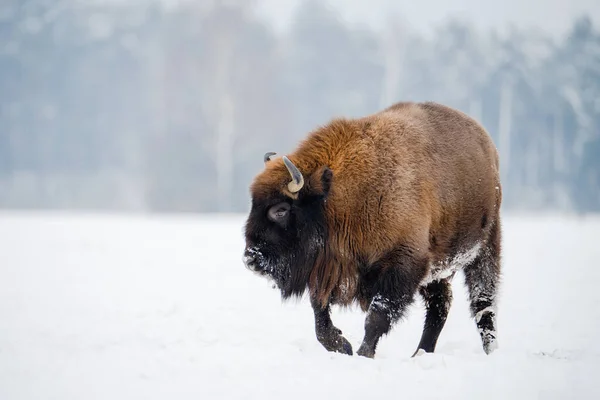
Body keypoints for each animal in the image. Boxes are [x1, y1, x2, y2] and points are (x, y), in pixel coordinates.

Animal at [241, 101, 500, 358]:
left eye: (281, 210)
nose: (250, 259)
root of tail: (486, 142)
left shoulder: (403, 265)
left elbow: (377, 316)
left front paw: (363, 353)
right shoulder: (328, 268)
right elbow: (319, 313)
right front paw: (342, 345)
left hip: (485, 247)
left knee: (483, 303)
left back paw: (489, 350)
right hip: (438, 269)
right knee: (440, 305)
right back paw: (420, 353)